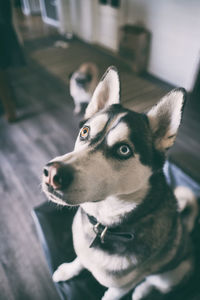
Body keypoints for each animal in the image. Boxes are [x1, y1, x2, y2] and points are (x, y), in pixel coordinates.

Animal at [41, 67, 197, 300]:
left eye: (124, 150)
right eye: (85, 131)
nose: (52, 174)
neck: (104, 224)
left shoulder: (119, 288)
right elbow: (80, 260)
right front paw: (69, 269)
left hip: (171, 274)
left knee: (154, 282)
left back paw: (141, 291)